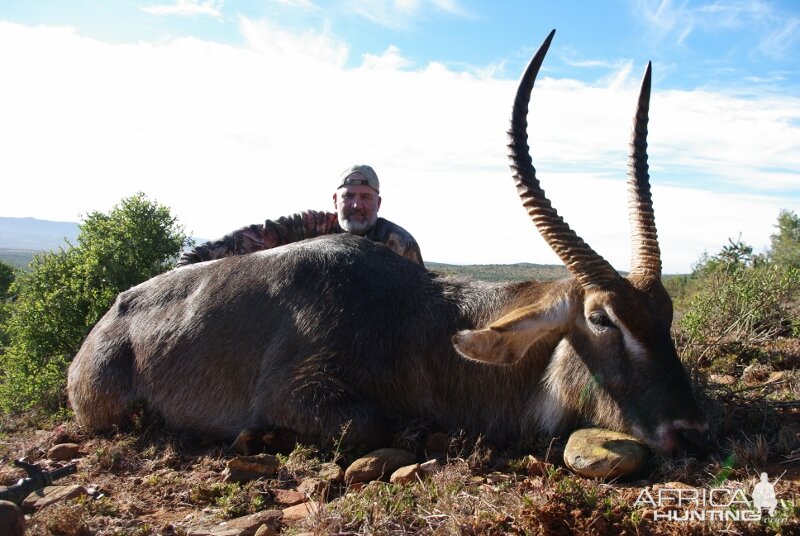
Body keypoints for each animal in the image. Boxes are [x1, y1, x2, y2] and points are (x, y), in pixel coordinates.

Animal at [67, 30, 708, 456]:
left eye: (666, 314)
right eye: (602, 318)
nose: (692, 432)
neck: (421, 320)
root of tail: (111, 315)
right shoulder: (299, 387)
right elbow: (370, 424)